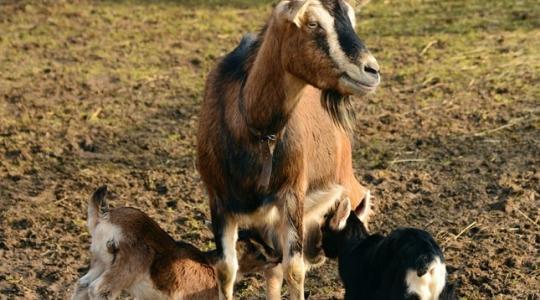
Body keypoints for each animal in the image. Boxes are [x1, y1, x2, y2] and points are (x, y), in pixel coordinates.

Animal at [197, 1, 380, 298]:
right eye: (313, 23)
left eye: (351, 20)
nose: (371, 70)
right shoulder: (219, 200)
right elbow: (226, 270)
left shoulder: (292, 196)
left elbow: (294, 269)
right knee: (273, 270)